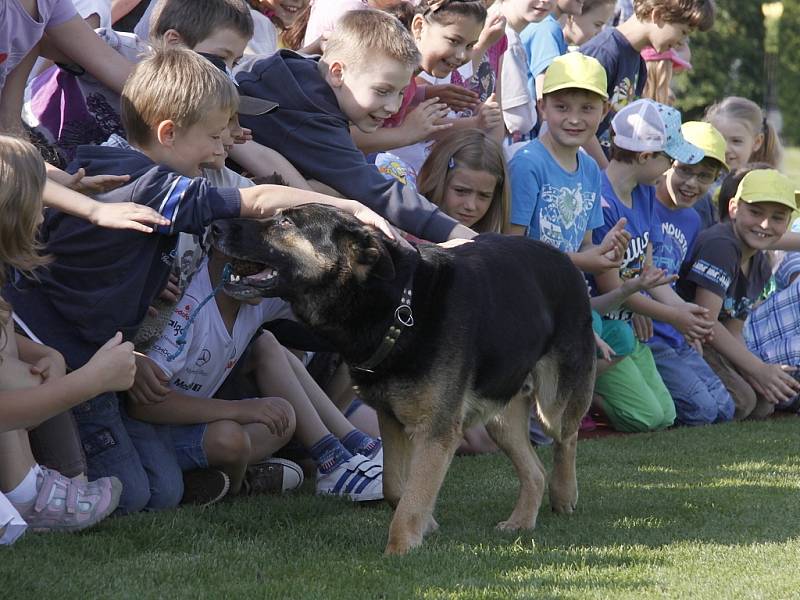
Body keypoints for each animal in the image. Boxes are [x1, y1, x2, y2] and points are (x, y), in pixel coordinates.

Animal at [209, 204, 596, 556]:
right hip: (499, 418)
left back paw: (565, 494)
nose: (212, 227)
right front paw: (426, 525)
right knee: (534, 470)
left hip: (553, 403)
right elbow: (397, 486)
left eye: (286, 222)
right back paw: (521, 521)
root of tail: (564, 258)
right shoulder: (391, 420)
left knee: (566, 439)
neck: (398, 307)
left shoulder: (436, 432)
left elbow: (413, 493)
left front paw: (399, 549)